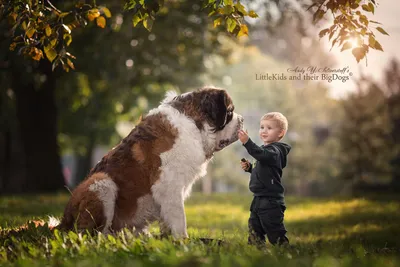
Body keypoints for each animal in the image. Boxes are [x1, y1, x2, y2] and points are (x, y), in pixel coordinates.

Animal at [57, 87, 244, 239]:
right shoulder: (169, 185)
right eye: (230, 112)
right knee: (92, 234)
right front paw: (183, 243)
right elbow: (179, 218)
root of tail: (63, 221)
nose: (242, 119)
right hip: (102, 182)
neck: (193, 123)